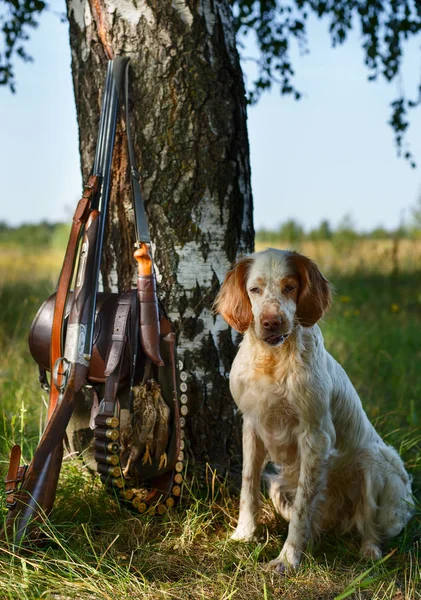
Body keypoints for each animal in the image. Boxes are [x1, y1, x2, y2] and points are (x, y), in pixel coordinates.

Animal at [215, 247, 412, 572]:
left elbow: (302, 508)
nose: (272, 322)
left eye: (290, 287)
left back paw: (370, 551)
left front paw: (287, 558)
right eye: (254, 290)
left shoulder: (315, 435)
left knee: (371, 525)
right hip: (278, 485)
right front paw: (243, 534)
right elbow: (248, 485)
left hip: (374, 462)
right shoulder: (252, 426)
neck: (273, 360)